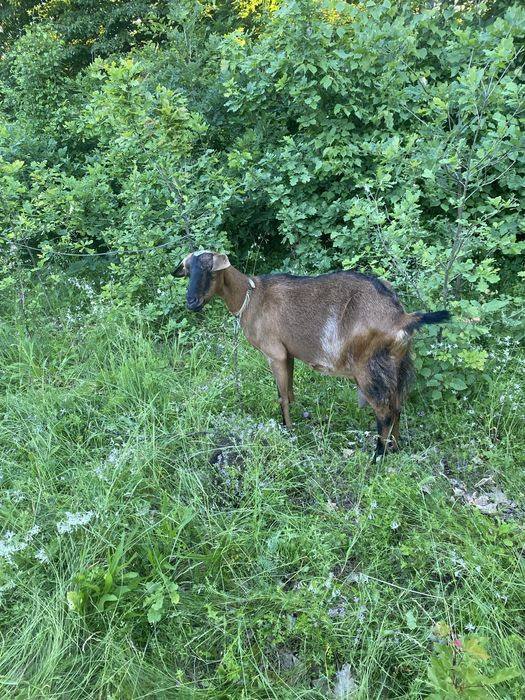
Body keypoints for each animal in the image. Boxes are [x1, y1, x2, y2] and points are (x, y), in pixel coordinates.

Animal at [173, 250, 450, 459]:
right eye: (187, 270)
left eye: (210, 270)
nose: (191, 302)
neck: (251, 296)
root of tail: (401, 317)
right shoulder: (288, 353)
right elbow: (290, 393)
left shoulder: (274, 353)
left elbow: (282, 397)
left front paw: (288, 431)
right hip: (397, 364)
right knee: (398, 405)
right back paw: (394, 447)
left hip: (367, 368)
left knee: (384, 411)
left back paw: (377, 456)